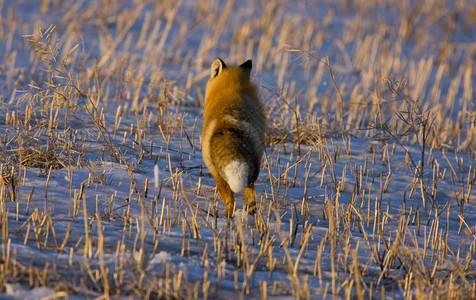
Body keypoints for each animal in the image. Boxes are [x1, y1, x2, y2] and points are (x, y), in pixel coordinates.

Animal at [201, 58, 266, 218]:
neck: (229, 88)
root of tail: (226, 125)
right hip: (249, 175)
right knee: (249, 201)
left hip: (218, 176)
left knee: (232, 203)